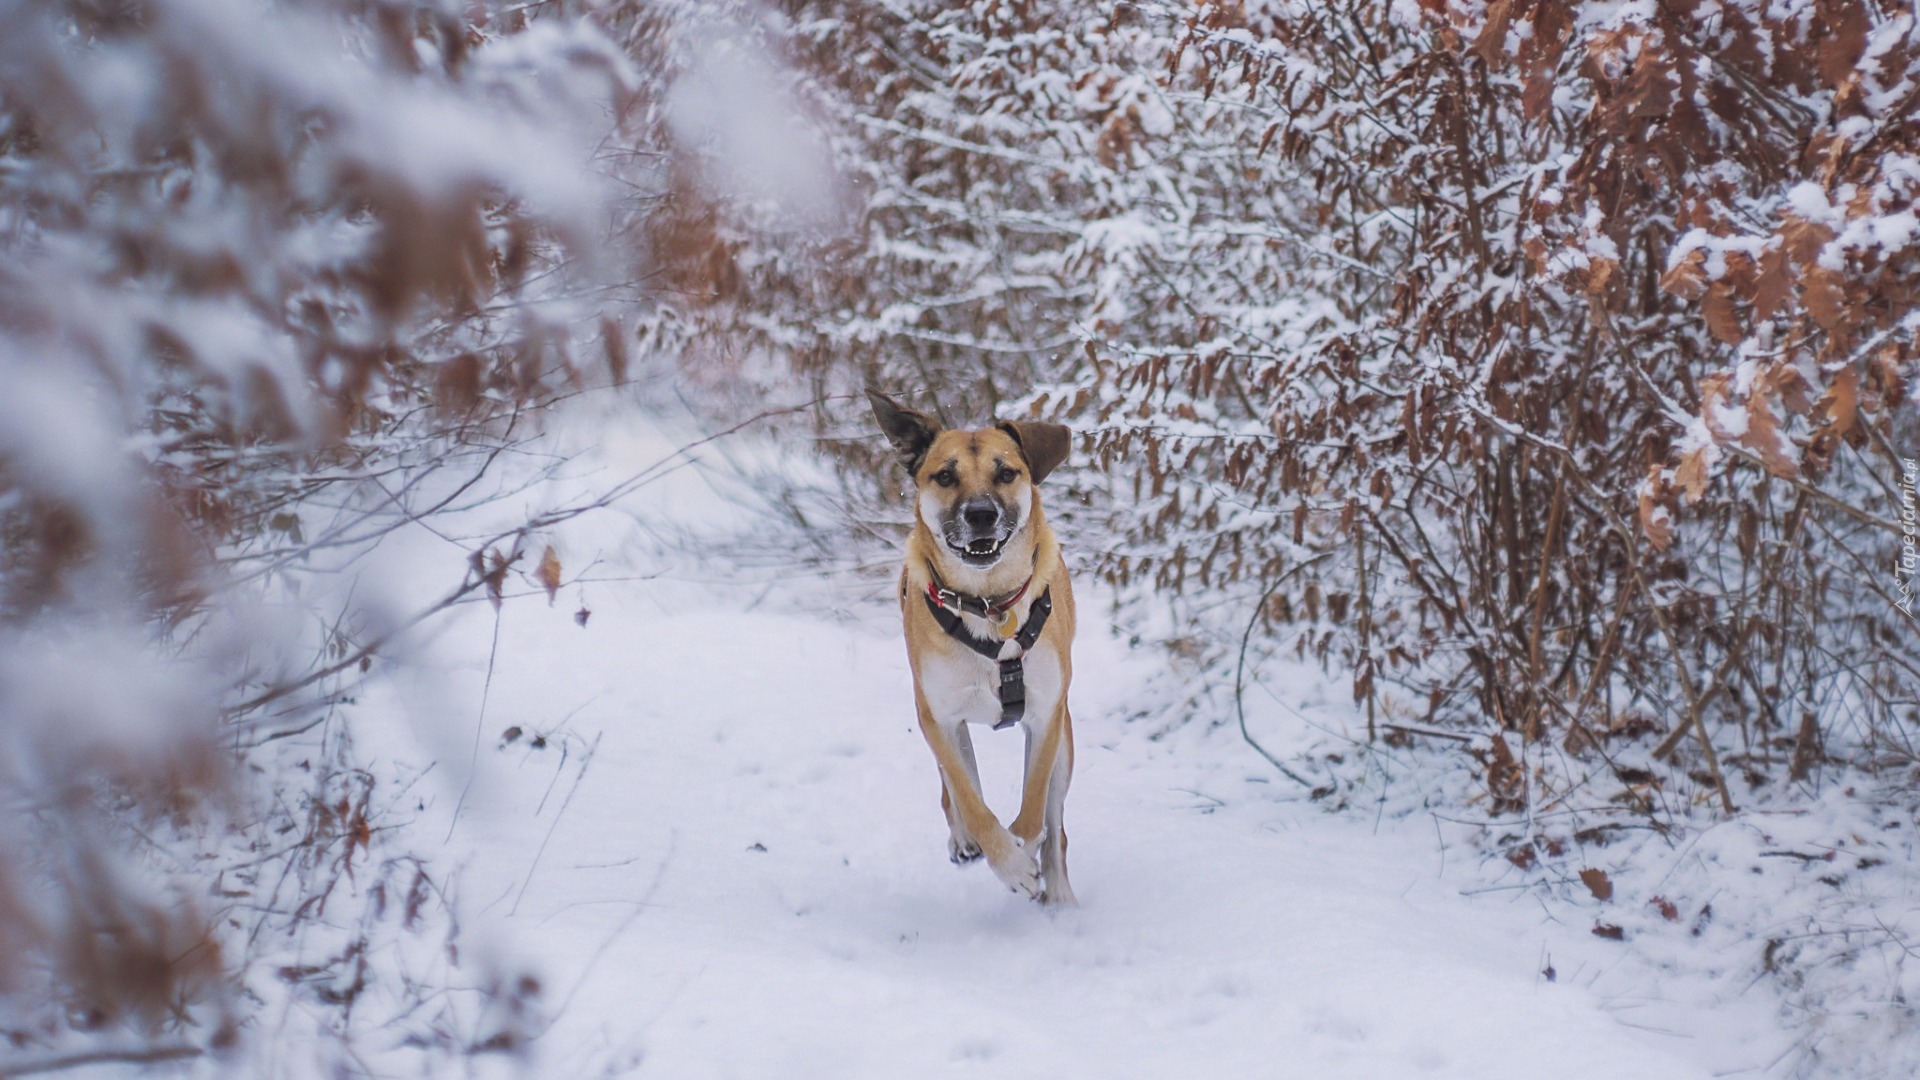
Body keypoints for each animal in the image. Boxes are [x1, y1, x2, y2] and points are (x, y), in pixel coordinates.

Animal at [871, 386, 1082, 899]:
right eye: (945, 476)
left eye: (1006, 472)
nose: (982, 514)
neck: (988, 604)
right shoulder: (940, 717)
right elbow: (970, 798)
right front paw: (1007, 862)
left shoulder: (1046, 715)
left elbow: (1033, 807)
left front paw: (1024, 851)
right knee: (955, 787)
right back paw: (968, 840)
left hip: (1066, 741)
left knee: (1057, 825)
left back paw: (1059, 893)